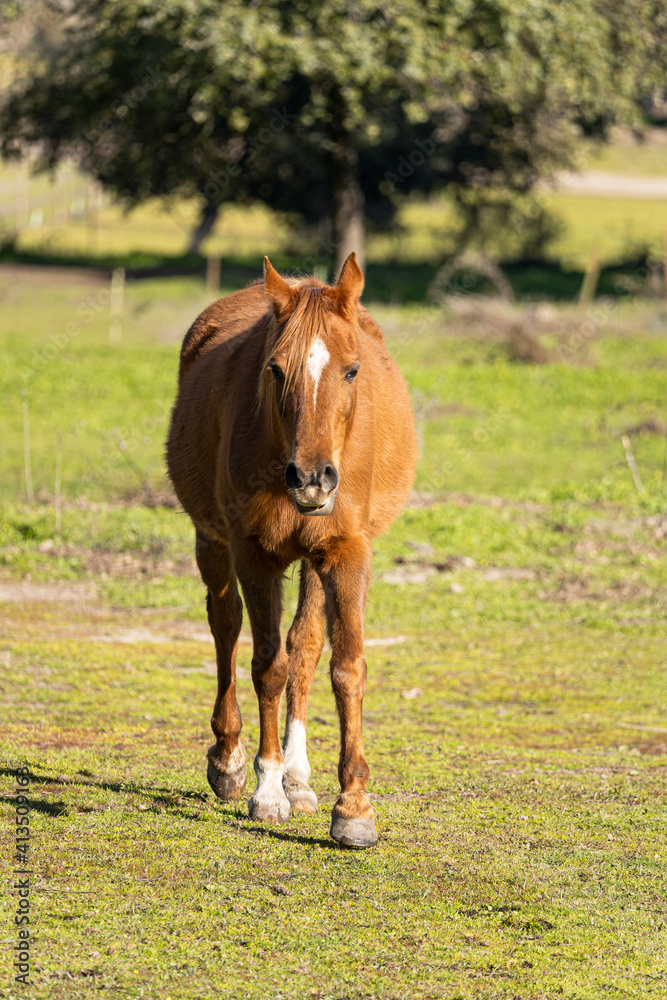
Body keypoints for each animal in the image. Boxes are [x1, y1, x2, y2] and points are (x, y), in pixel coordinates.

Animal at [167, 253, 417, 848]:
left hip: (311, 561)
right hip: (213, 542)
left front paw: (353, 808)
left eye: (352, 370)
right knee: (225, 626)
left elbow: (343, 668)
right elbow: (266, 666)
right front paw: (265, 790)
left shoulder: (346, 554)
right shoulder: (253, 553)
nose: (311, 479)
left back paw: (300, 779)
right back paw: (230, 761)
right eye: (275, 370)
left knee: (304, 647)